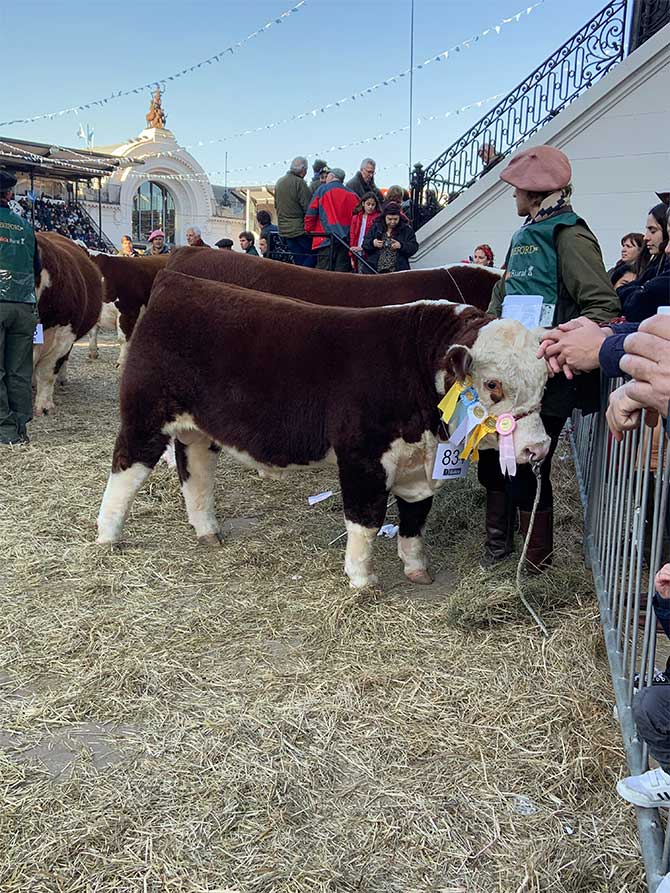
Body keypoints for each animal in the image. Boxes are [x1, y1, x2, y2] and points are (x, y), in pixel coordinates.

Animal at [100, 272, 552, 592]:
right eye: (492, 385)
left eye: (546, 382)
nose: (538, 447)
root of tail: (175, 281)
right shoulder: (362, 457)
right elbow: (365, 519)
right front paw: (362, 580)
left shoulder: (416, 467)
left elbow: (414, 519)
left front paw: (417, 569)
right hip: (144, 418)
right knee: (125, 468)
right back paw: (108, 536)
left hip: (197, 429)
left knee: (194, 471)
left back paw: (207, 531)